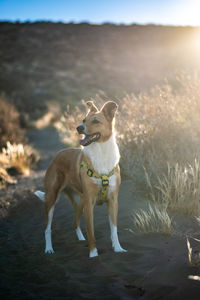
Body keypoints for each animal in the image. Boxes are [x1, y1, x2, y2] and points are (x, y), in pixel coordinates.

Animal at [34, 101, 126, 258]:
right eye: (84, 120)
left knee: (75, 223)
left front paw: (118, 248)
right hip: (52, 198)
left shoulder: (113, 201)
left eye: (95, 121)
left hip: (79, 201)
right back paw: (49, 249)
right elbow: (91, 232)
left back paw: (81, 239)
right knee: (47, 228)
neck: (101, 152)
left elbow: (114, 229)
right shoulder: (90, 203)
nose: (79, 128)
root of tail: (58, 154)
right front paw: (93, 254)